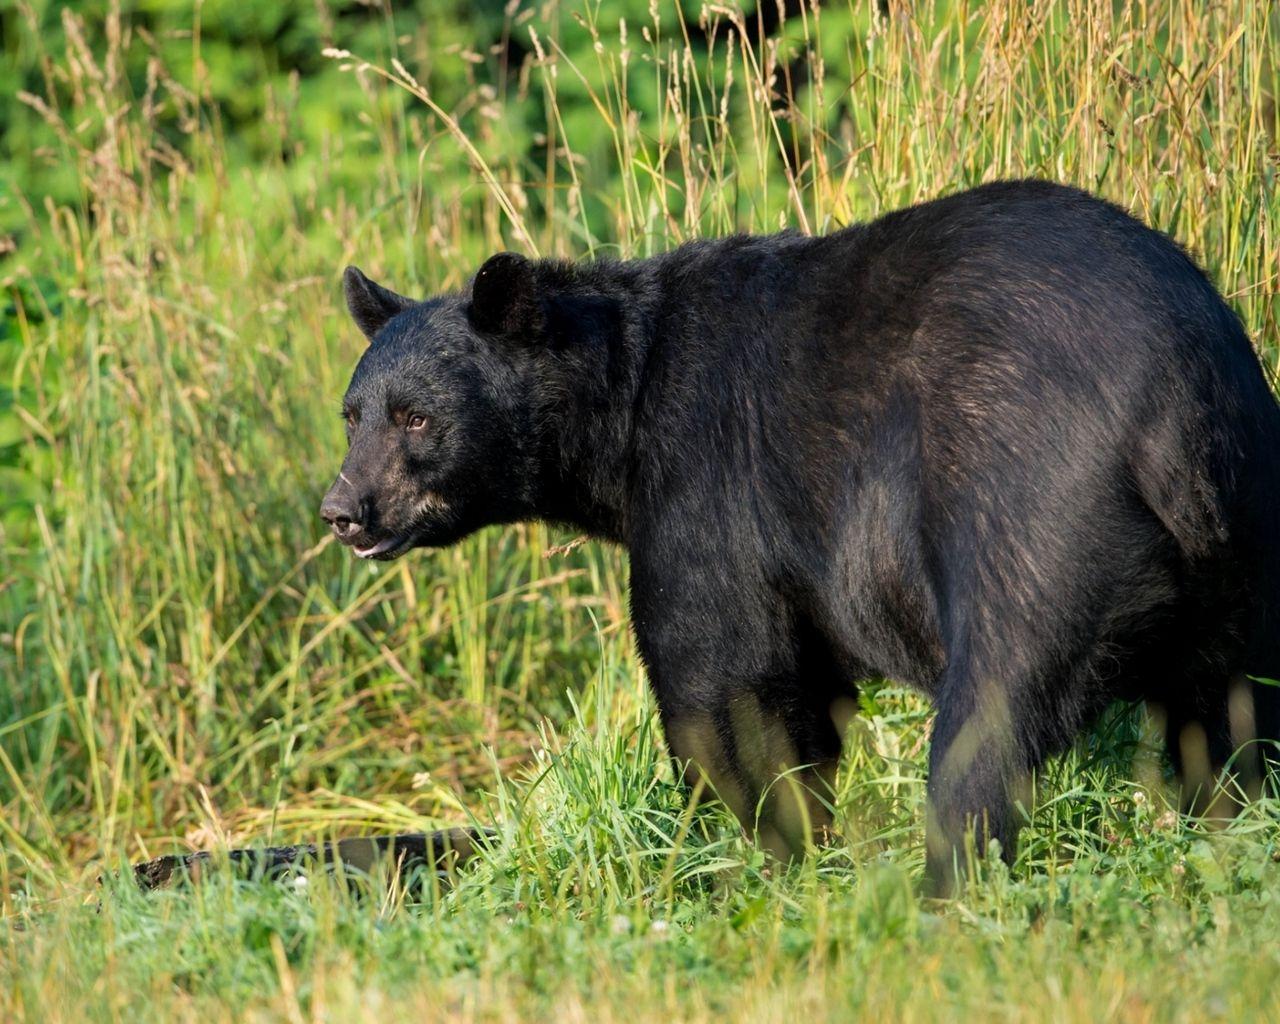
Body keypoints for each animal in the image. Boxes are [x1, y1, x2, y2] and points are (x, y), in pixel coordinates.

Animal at [139, 179, 1280, 895]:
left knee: (990, 713)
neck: (621, 405)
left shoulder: (708, 484)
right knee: (1228, 713)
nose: (343, 510)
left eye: (415, 417)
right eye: (353, 412)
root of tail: (1172, 406)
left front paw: (750, 848)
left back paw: (936, 885)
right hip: (1243, 544)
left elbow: (723, 678)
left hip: (1025, 506)